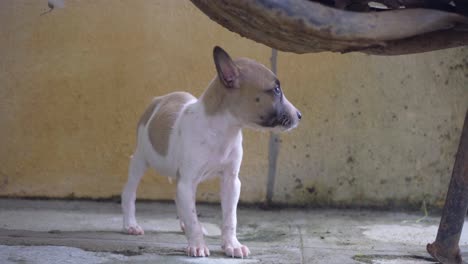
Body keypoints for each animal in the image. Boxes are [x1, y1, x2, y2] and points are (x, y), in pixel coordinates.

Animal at [120, 46, 302, 258]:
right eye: (276, 90)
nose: (299, 115)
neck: (222, 131)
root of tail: (159, 100)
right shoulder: (188, 180)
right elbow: (193, 219)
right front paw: (197, 244)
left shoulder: (231, 182)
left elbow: (230, 218)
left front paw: (232, 245)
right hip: (141, 160)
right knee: (130, 192)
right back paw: (130, 224)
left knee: (179, 199)